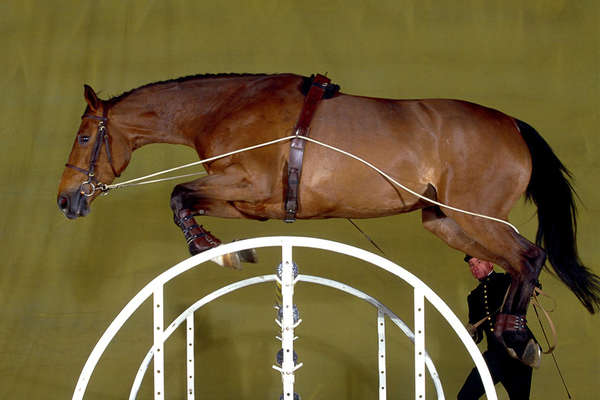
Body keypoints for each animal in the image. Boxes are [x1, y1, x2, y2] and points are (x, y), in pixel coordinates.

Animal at [57, 72, 600, 366]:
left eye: (84, 137)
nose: (66, 201)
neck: (228, 107)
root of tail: (513, 124)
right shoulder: (252, 203)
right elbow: (188, 201)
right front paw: (226, 249)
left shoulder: (248, 184)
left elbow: (177, 194)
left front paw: (211, 250)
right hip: (446, 222)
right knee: (514, 264)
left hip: (479, 216)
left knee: (530, 256)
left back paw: (516, 337)